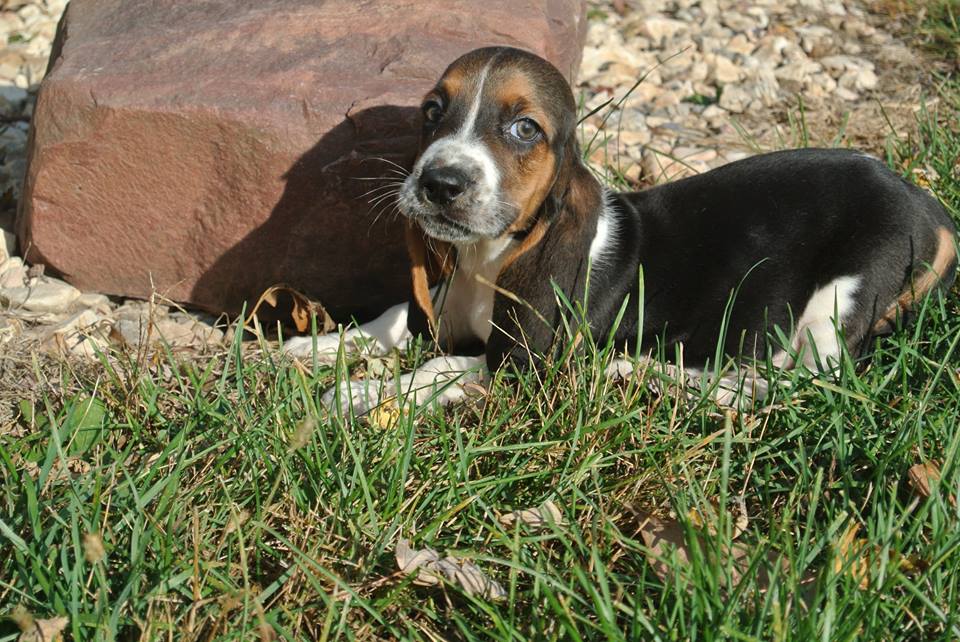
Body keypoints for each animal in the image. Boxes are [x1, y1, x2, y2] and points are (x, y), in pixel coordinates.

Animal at [284, 47, 952, 412]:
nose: (438, 183)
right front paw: (306, 349)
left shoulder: (528, 361)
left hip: (835, 307)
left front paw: (357, 395)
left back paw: (647, 372)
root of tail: (930, 207)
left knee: (792, 386)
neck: (487, 259)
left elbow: (440, 366)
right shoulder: (442, 300)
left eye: (525, 129)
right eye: (431, 112)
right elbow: (395, 316)